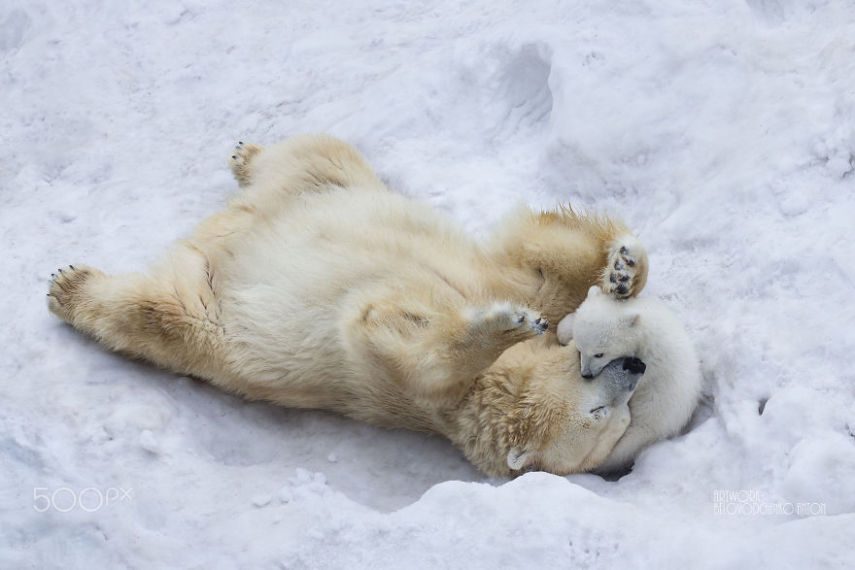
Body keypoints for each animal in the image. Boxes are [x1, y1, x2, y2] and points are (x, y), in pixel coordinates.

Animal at [45, 133, 648, 474]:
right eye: (600, 411)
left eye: (621, 417)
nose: (637, 366)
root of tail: (220, 233)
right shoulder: (490, 281)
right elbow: (545, 267)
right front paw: (622, 269)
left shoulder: (412, 392)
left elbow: (386, 334)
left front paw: (505, 324)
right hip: (330, 185)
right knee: (318, 151)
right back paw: (246, 155)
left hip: (210, 306)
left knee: (158, 315)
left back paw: (72, 287)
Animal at [556, 286, 704, 468]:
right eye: (580, 349)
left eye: (599, 354)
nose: (586, 374)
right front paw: (564, 328)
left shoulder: (651, 363)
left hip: (653, 414)